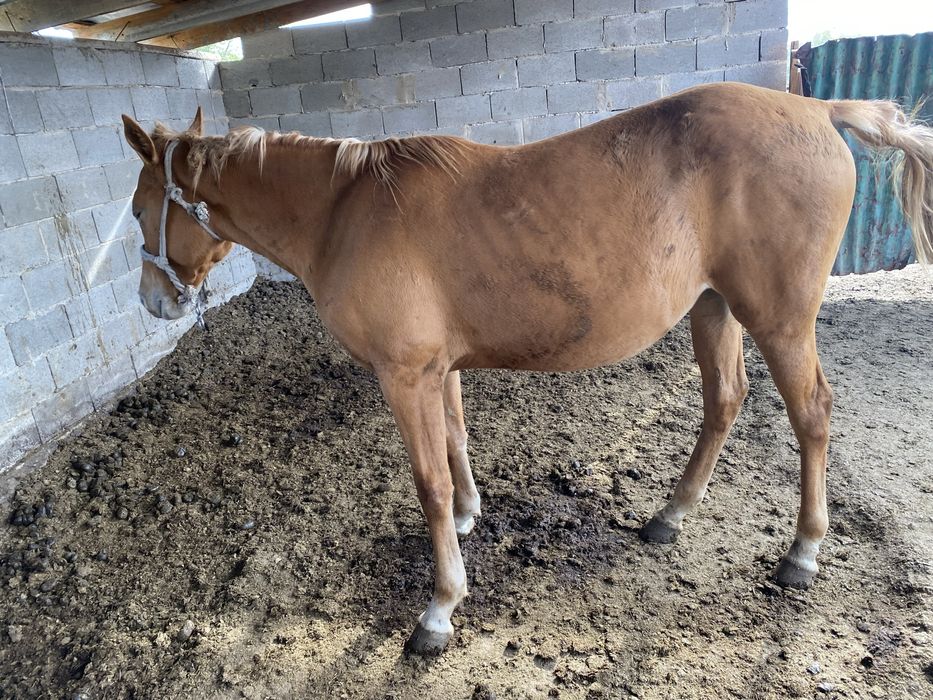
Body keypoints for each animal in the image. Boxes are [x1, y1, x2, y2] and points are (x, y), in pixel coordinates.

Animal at [121, 82, 933, 655]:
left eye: (136, 212)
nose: (154, 302)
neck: (343, 211)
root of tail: (818, 109)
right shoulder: (437, 369)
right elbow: (456, 444)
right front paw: (471, 513)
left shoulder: (403, 374)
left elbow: (427, 482)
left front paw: (440, 607)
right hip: (713, 308)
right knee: (724, 402)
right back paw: (669, 516)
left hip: (779, 320)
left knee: (811, 413)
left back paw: (802, 553)